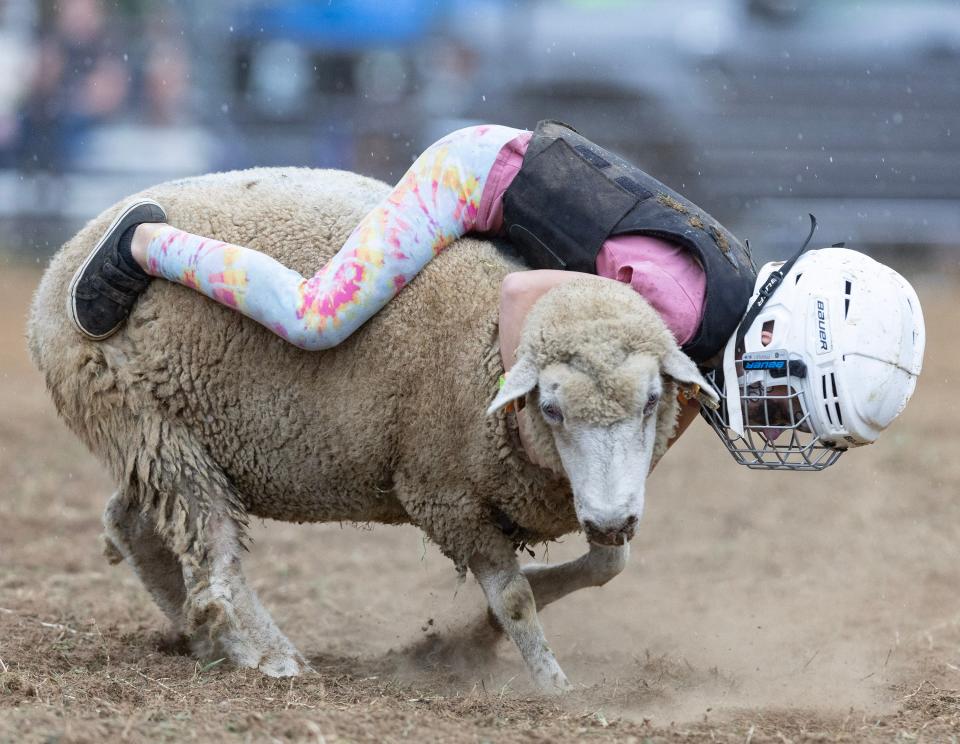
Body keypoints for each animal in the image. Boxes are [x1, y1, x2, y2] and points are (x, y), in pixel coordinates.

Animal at [28, 167, 712, 692]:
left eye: (653, 401)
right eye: (552, 409)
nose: (613, 518)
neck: (490, 342)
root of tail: (57, 271)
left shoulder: (580, 496)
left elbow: (608, 566)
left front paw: (474, 636)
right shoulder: (442, 496)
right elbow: (514, 598)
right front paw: (550, 684)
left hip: (153, 439)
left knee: (134, 525)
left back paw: (204, 638)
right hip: (156, 432)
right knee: (214, 554)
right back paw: (264, 654)